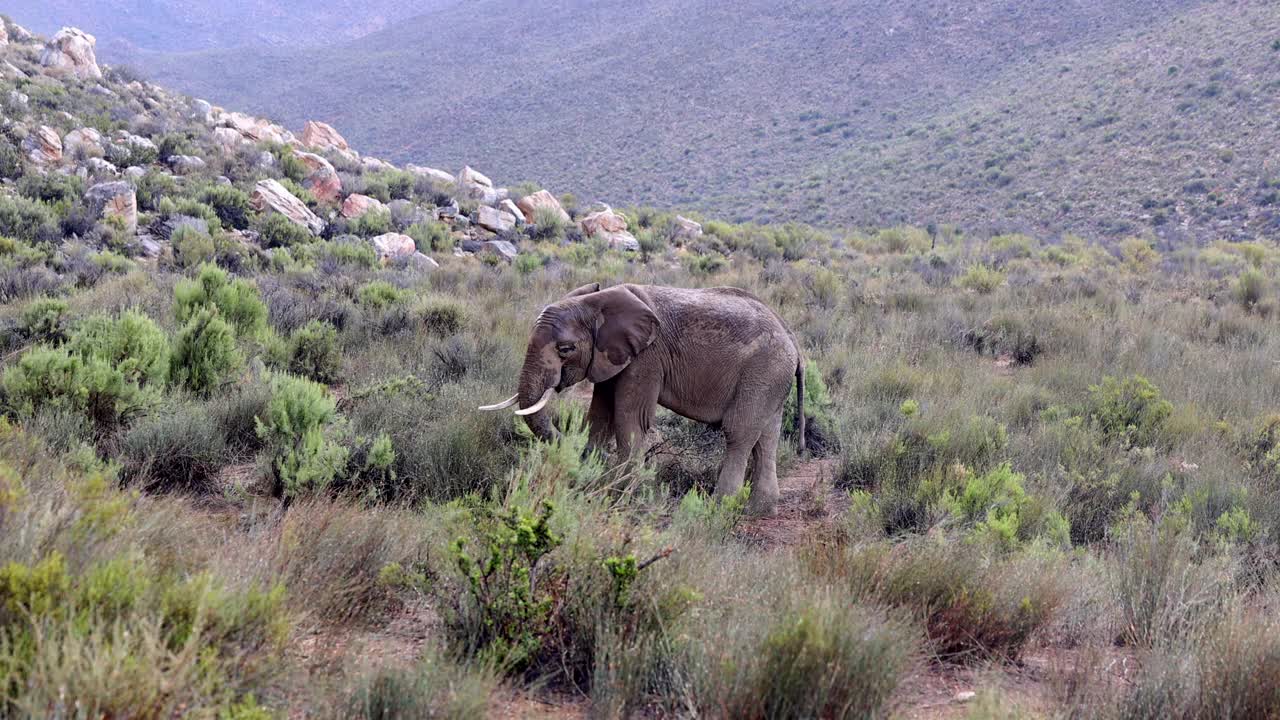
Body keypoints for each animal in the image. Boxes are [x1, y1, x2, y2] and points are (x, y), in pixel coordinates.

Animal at [476, 283, 803, 512]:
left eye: (565, 349)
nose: (575, 455)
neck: (597, 302)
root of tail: (792, 337)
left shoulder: (647, 357)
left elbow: (629, 419)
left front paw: (620, 497)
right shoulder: (610, 356)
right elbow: (600, 416)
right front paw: (591, 480)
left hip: (763, 371)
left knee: (739, 433)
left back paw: (717, 509)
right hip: (771, 379)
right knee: (766, 437)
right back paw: (758, 511)